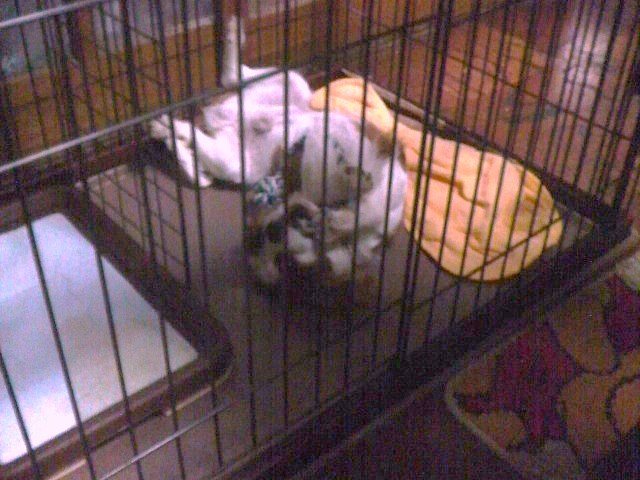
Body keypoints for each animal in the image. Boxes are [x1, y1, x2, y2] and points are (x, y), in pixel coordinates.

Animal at [149, 16, 407, 286]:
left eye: (286, 264)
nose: (272, 231)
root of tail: (220, 118)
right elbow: (362, 190)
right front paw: (351, 187)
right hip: (291, 82)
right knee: (235, 77)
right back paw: (232, 33)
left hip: (234, 161)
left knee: (196, 134)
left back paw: (169, 127)